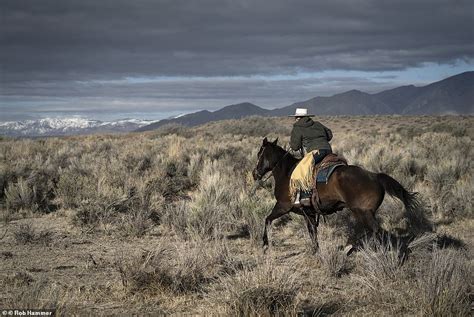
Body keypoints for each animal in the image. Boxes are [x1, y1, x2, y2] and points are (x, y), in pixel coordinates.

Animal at [252, 136, 422, 252]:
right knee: (371, 231)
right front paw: (316, 250)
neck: (287, 172)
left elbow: (267, 219)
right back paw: (351, 246)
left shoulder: (283, 206)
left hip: (363, 212)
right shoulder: (308, 213)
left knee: (376, 231)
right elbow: (312, 232)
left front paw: (265, 244)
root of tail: (374, 176)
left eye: (259, 154)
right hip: (365, 213)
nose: (255, 174)